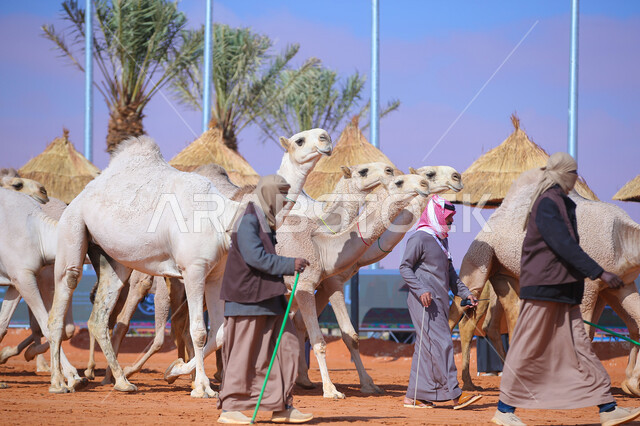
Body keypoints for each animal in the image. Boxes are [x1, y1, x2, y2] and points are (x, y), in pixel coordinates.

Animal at [292, 165, 464, 397]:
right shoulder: (331, 282)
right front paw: (352, 386)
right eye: (429, 174)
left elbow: (302, 324)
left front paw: (304, 379)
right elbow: (347, 335)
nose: (457, 176)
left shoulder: (323, 284)